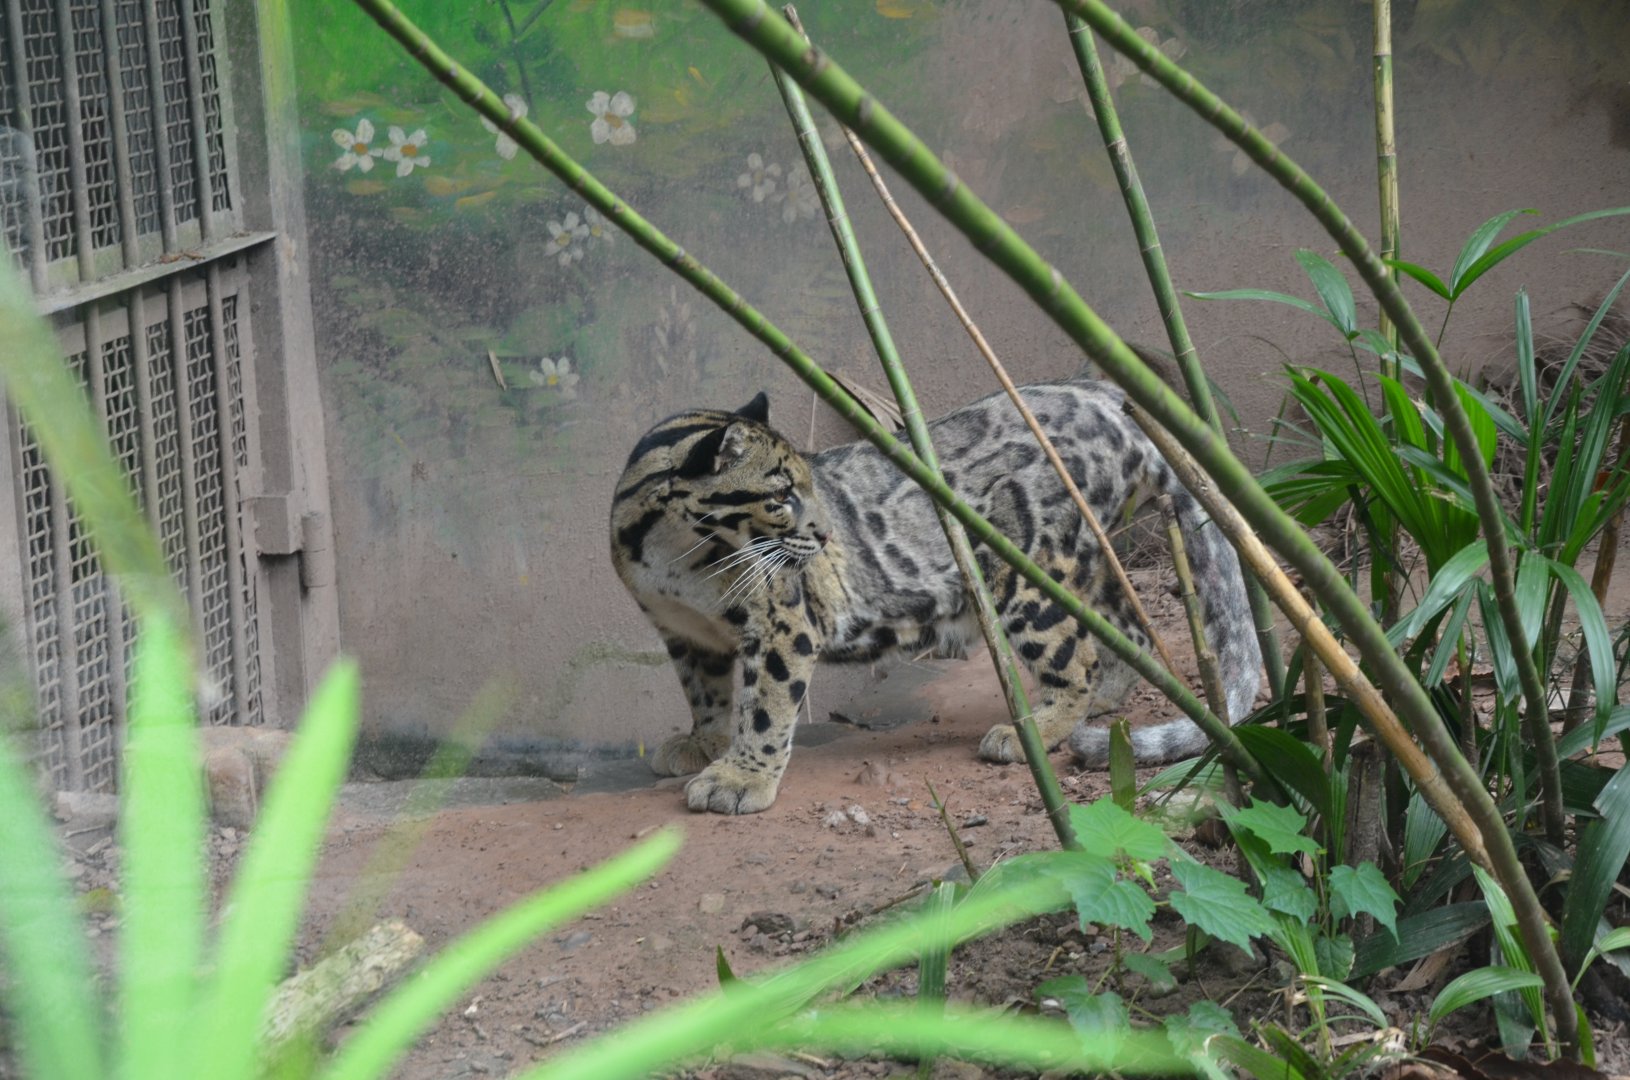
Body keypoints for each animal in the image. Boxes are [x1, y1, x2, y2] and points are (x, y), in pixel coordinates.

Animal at [609, 378, 1261, 814]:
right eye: (782, 496)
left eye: (807, 486)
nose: (825, 536)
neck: (676, 558)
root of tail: (1101, 394)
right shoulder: (685, 632)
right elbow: (707, 694)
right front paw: (704, 742)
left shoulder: (779, 621)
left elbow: (765, 702)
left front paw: (740, 779)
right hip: (1084, 562)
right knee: (1128, 628)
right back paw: (1105, 700)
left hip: (1022, 567)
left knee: (1077, 655)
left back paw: (1036, 728)